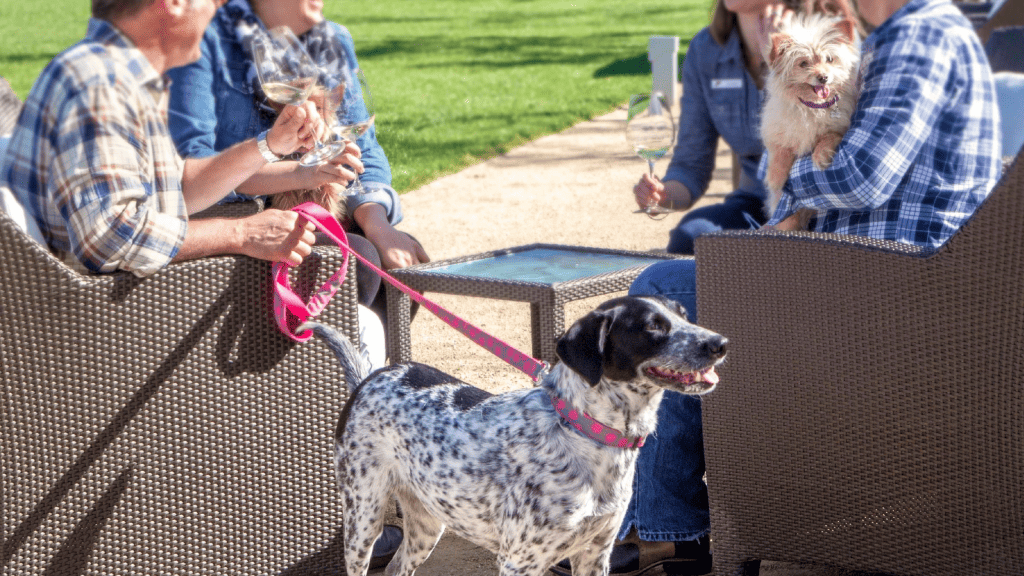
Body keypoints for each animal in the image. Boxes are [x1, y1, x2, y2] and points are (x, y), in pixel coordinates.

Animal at [299, 295, 724, 573]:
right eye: (653, 327)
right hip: (363, 518)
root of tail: (369, 376)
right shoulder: (519, 561)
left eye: (684, 316)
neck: (586, 433)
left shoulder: (595, 554)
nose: (720, 342)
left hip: (426, 524)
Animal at [761, 12, 856, 228]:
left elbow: (828, 136)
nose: (823, 77)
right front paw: (775, 177)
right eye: (803, 63)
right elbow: (780, 152)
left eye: (829, 59)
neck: (812, 107)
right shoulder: (777, 133)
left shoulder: (840, 126)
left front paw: (821, 156)